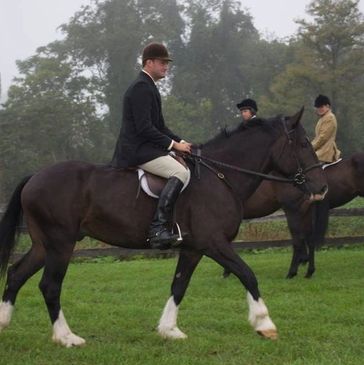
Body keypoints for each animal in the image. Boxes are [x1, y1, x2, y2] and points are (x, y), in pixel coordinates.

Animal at [0, 109, 328, 346]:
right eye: (303, 144)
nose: (321, 187)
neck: (220, 176)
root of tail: (34, 177)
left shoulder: (194, 248)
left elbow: (178, 286)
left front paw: (169, 330)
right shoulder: (214, 243)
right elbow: (247, 274)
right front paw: (265, 324)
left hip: (44, 244)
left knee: (16, 274)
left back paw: (4, 324)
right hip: (61, 243)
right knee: (49, 285)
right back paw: (67, 338)